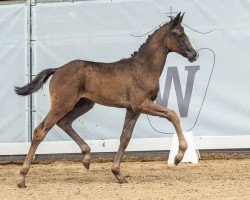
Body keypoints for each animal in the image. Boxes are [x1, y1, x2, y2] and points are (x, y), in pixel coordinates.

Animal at [15, 12, 198, 188]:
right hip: (62, 104)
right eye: (178, 34)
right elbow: (173, 115)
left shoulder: (133, 109)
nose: (194, 54)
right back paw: (22, 178)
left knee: (64, 123)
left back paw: (86, 158)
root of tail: (57, 69)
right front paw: (179, 156)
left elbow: (125, 138)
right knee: (40, 131)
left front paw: (118, 174)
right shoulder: (142, 104)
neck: (144, 67)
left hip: (84, 104)